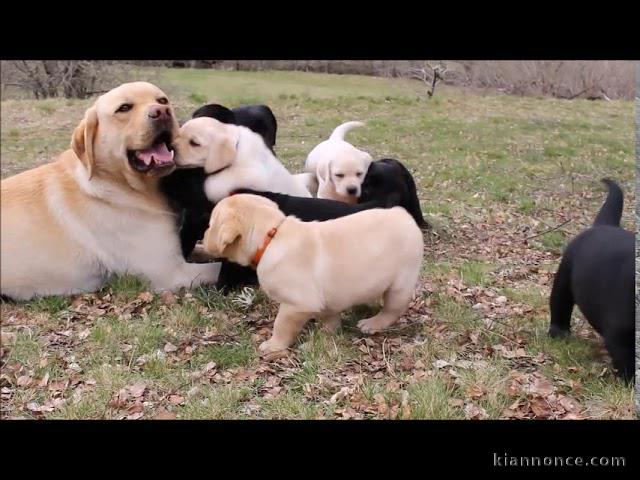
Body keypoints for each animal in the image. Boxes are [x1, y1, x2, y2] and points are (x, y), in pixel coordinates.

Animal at [0, 82, 220, 300]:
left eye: (162, 100)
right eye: (124, 108)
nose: (162, 112)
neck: (121, 185)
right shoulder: (170, 271)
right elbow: (216, 268)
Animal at [172, 119, 312, 203]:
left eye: (194, 143)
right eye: (178, 134)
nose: (172, 147)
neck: (237, 145)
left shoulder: (256, 175)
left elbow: (218, 180)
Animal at [202, 193, 422, 354]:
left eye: (210, 224)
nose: (203, 236)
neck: (271, 237)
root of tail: (402, 214)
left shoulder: (297, 304)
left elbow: (281, 325)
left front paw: (274, 345)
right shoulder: (326, 299)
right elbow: (329, 317)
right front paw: (327, 333)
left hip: (400, 283)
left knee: (392, 309)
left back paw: (373, 322)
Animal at [552, 180, 636, 382]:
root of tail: (605, 224)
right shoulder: (620, 331)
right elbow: (627, 360)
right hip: (564, 277)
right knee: (559, 305)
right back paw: (558, 333)